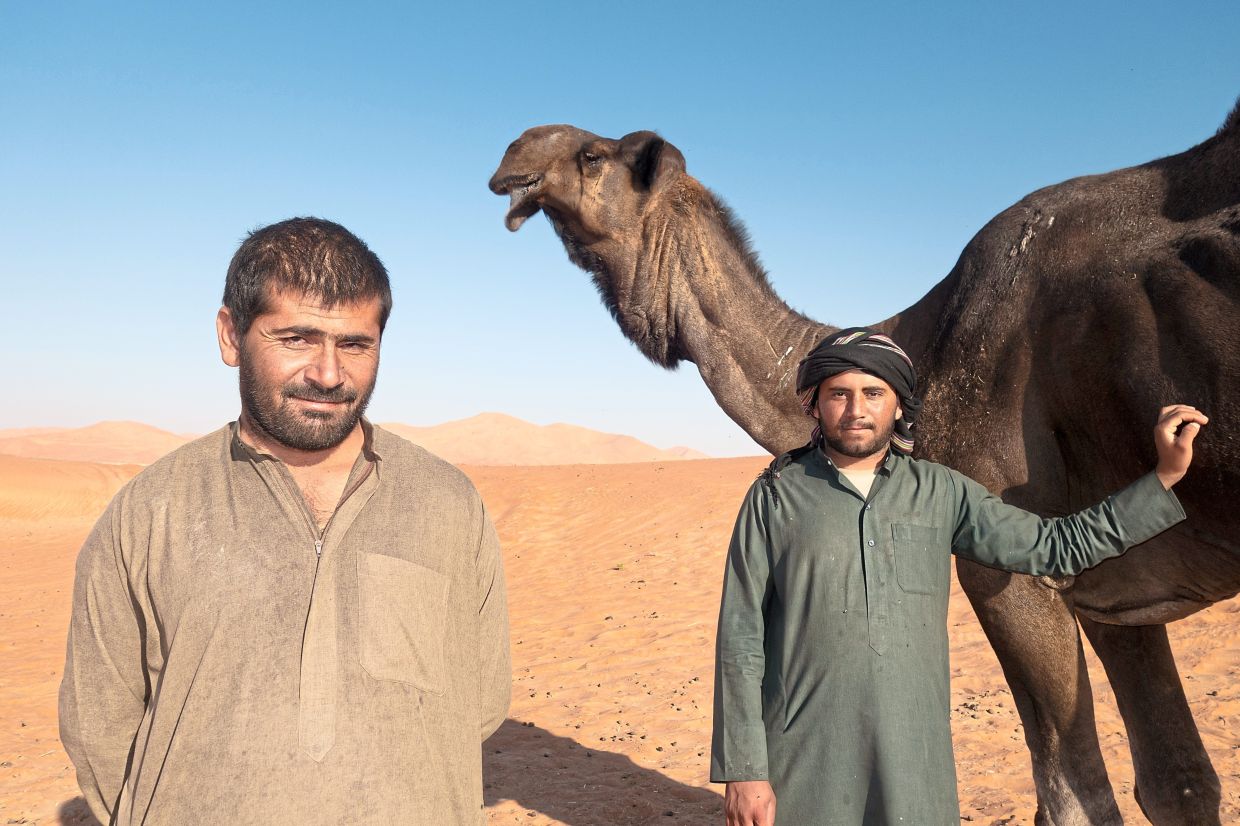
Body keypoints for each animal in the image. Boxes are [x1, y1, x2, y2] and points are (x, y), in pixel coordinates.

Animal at [488, 102, 1240, 826]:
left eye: (593, 156)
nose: (512, 151)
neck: (924, 345)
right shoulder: (1115, 593)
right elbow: (1179, 786)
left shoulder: (1015, 572)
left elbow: (1075, 802)